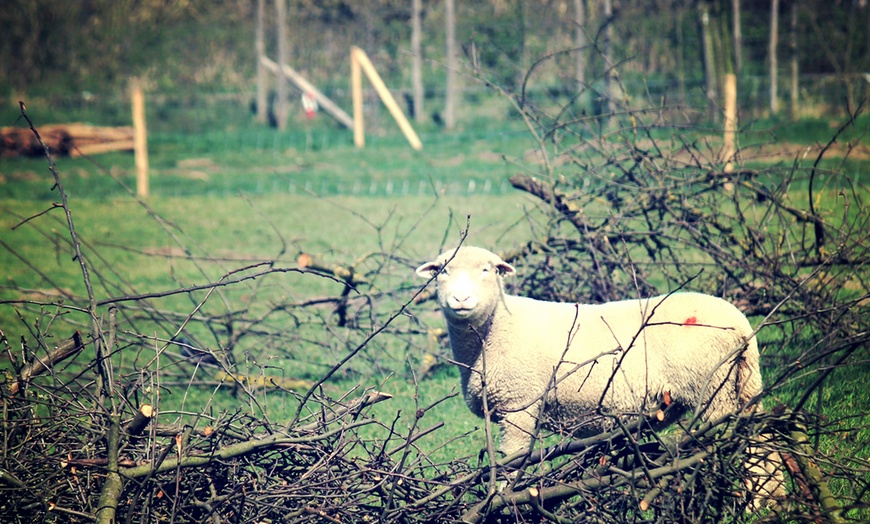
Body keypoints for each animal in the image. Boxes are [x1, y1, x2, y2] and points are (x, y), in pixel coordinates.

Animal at [416, 248, 784, 506]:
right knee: (760, 438)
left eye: (487, 270)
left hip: (713, 387)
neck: (495, 327)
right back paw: (769, 499)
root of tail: (742, 325)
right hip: (739, 384)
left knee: (736, 441)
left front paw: (503, 501)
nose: (461, 299)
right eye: (443, 271)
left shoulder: (520, 403)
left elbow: (511, 461)